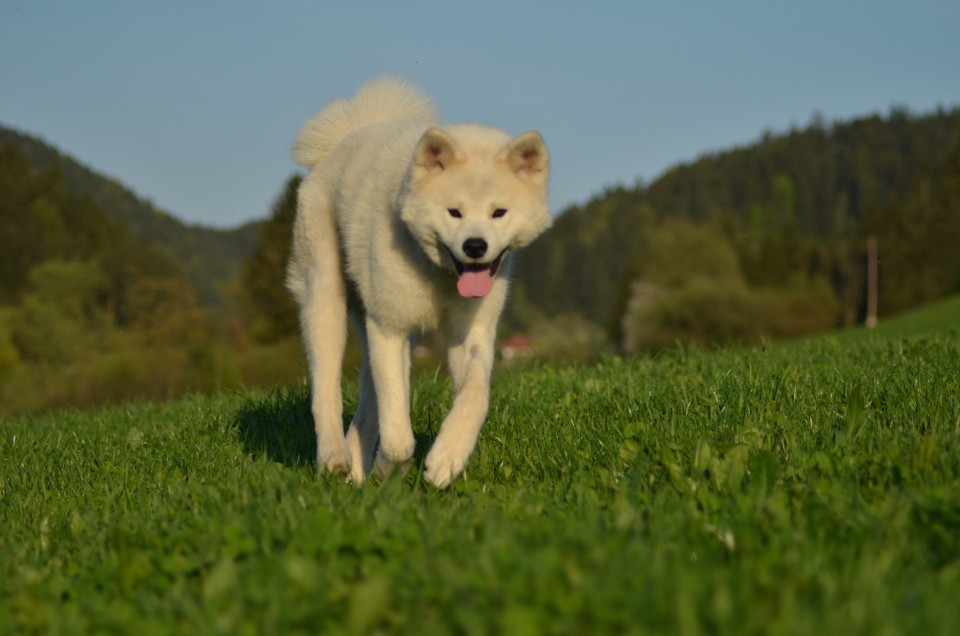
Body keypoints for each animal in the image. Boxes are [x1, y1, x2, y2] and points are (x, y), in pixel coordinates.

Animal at [284, 78, 552, 486]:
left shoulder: (470, 335)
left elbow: (475, 398)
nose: (476, 246)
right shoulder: (389, 329)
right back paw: (334, 456)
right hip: (325, 303)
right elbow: (398, 435)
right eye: (454, 212)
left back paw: (356, 473)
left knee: (366, 407)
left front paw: (446, 458)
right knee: (325, 390)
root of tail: (348, 133)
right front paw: (390, 468)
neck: (440, 274)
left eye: (499, 212)